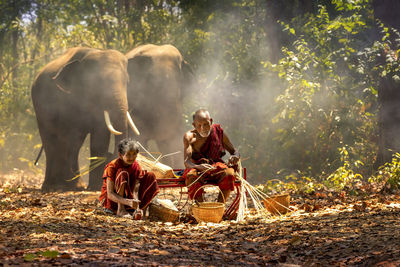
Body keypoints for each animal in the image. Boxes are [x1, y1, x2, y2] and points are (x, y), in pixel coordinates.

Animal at [30, 47, 139, 192]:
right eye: (97, 83)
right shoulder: (69, 98)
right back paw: (54, 187)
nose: (110, 154)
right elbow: (73, 136)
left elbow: (100, 136)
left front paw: (95, 187)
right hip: (40, 106)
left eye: (127, 82)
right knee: (52, 139)